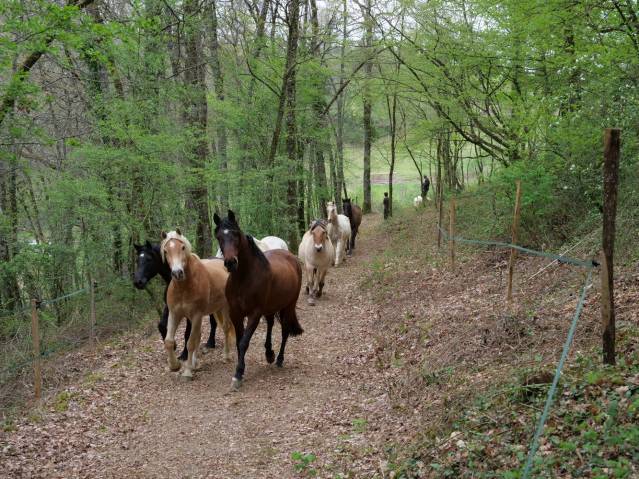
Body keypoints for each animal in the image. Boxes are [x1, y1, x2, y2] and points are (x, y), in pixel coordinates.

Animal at [161, 231, 236, 380]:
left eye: (183, 247)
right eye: (166, 251)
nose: (177, 273)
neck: (185, 286)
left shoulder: (196, 315)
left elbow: (190, 343)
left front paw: (187, 371)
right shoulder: (175, 314)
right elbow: (169, 341)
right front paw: (175, 365)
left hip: (225, 308)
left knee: (226, 328)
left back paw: (226, 356)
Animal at [214, 210, 304, 390]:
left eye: (235, 234)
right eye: (219, 237)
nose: (230, 262)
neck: (243, 279)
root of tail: (290, 256)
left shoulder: (254, 314)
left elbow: (244, 343)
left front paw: (238, 374)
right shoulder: (236, 314)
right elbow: (239, 342)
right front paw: (240, 370)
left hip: (289, 305)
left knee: (284, 330)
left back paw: (279, 359)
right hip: (270, 307)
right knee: (270, 324)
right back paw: (269, 353)